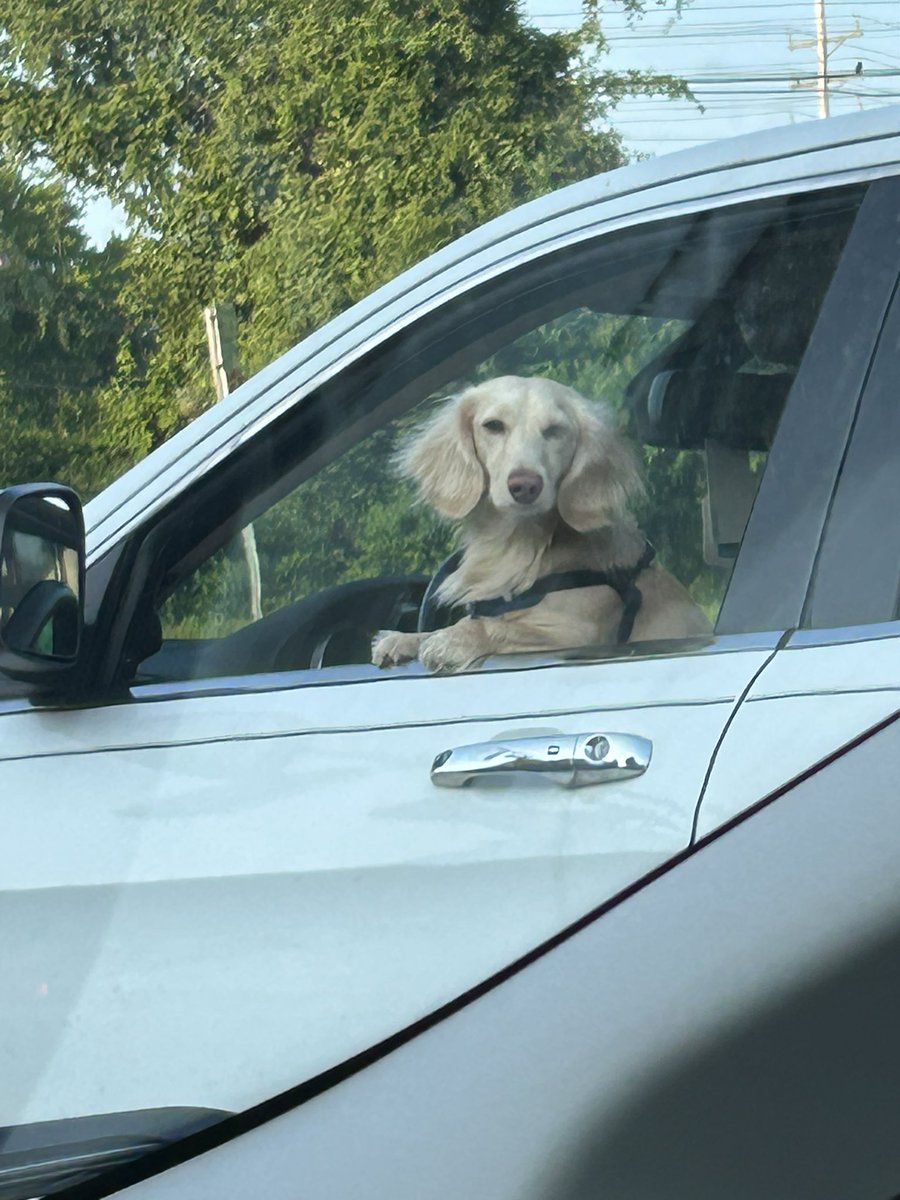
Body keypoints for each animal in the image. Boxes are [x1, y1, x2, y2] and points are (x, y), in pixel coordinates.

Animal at [374, 374, 710, 676]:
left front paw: (452, 639)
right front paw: (405, 638)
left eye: (555, 431)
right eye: (493, 425)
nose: (525, 485)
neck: (521, 544)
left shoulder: (576, 633)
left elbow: (497, 627)